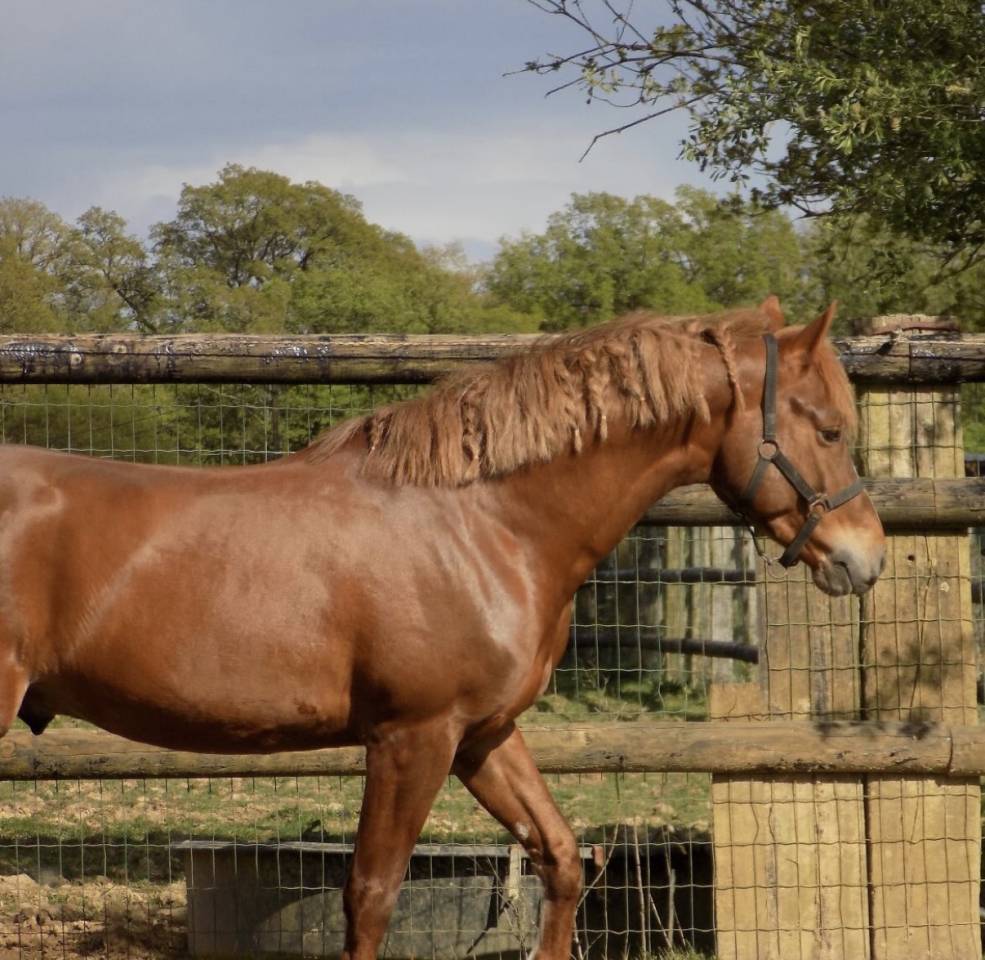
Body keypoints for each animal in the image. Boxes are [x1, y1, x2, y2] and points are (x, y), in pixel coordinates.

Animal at [0, 296, 884, 960]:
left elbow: (560, 859)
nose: (865, 558)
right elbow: (370, 897)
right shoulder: (412, 738)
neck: (483, 523)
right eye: (828, 428)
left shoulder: (483, 736)